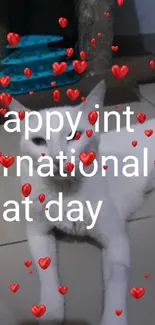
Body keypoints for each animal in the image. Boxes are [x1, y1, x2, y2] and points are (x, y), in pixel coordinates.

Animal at [7, 79, 155, 324]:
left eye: (74, 136)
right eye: (38, 141)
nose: (57, 159)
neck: (66, 192)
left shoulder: (116, 241)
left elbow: (115, 285)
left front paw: (113, 320)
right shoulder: (37, 232)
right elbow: (47, 271)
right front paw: (51, 309)